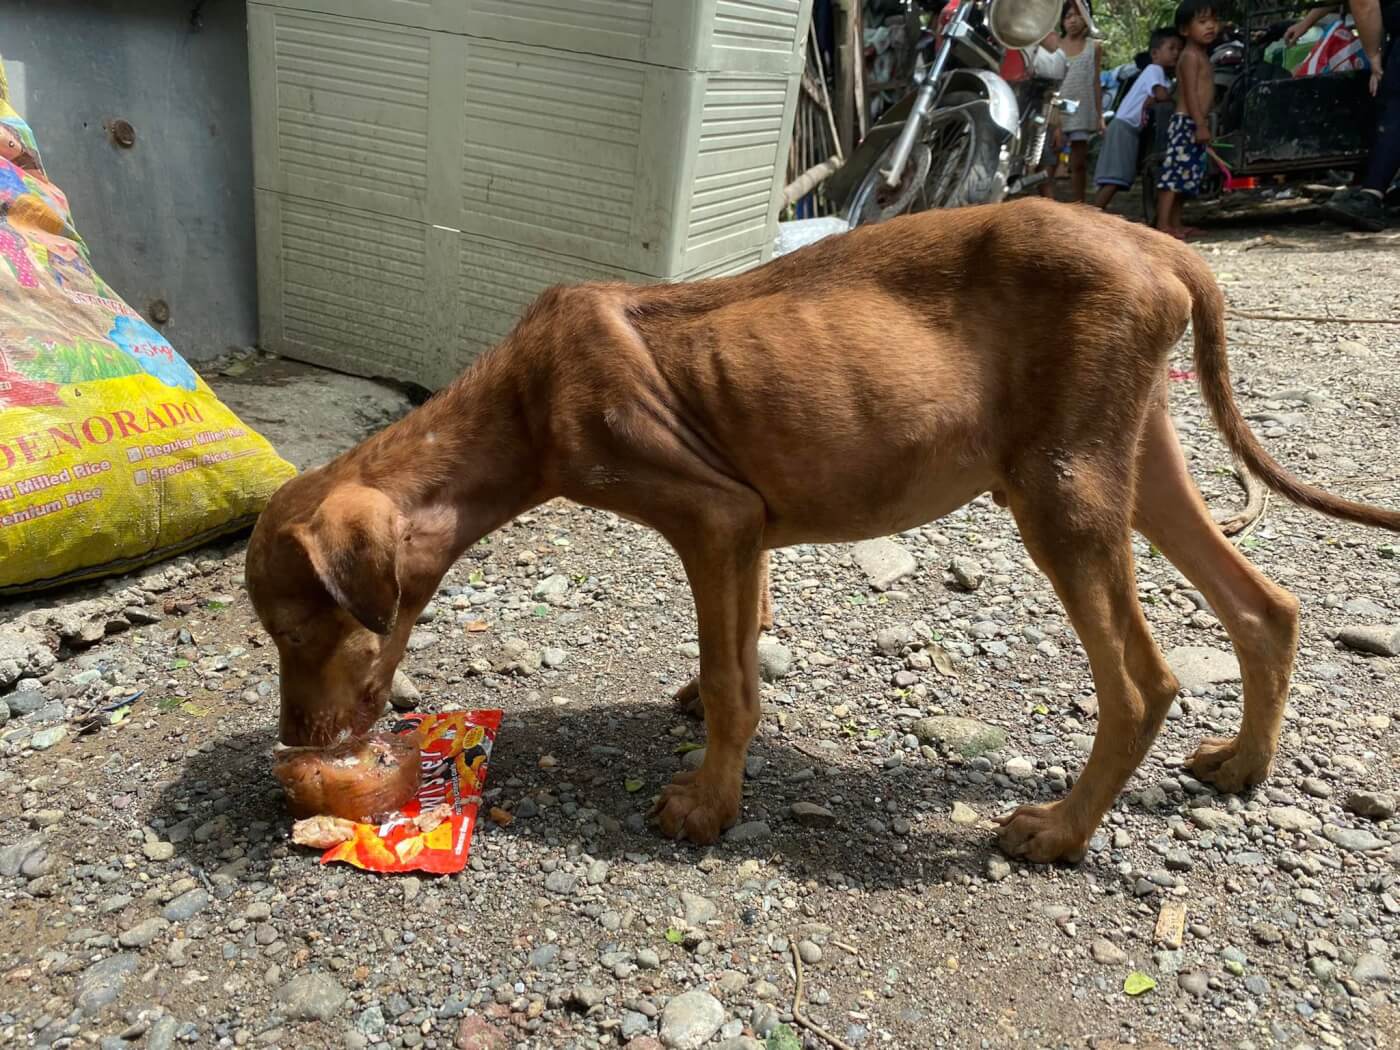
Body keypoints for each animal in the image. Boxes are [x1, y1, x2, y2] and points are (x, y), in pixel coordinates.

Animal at [243, 201, 1400, 868]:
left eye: (294, 632)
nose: (296, 745)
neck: (525, 401)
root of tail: (1156, 243)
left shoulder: (711, 516)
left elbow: (729, 683)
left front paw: (706, 807)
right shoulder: (748, 530)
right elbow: (740, 641)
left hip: (1059, 494)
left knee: (1143, 683)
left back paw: (1059, 833)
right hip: (1128, 458)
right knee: (1265, 605)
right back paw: (1243, 763)